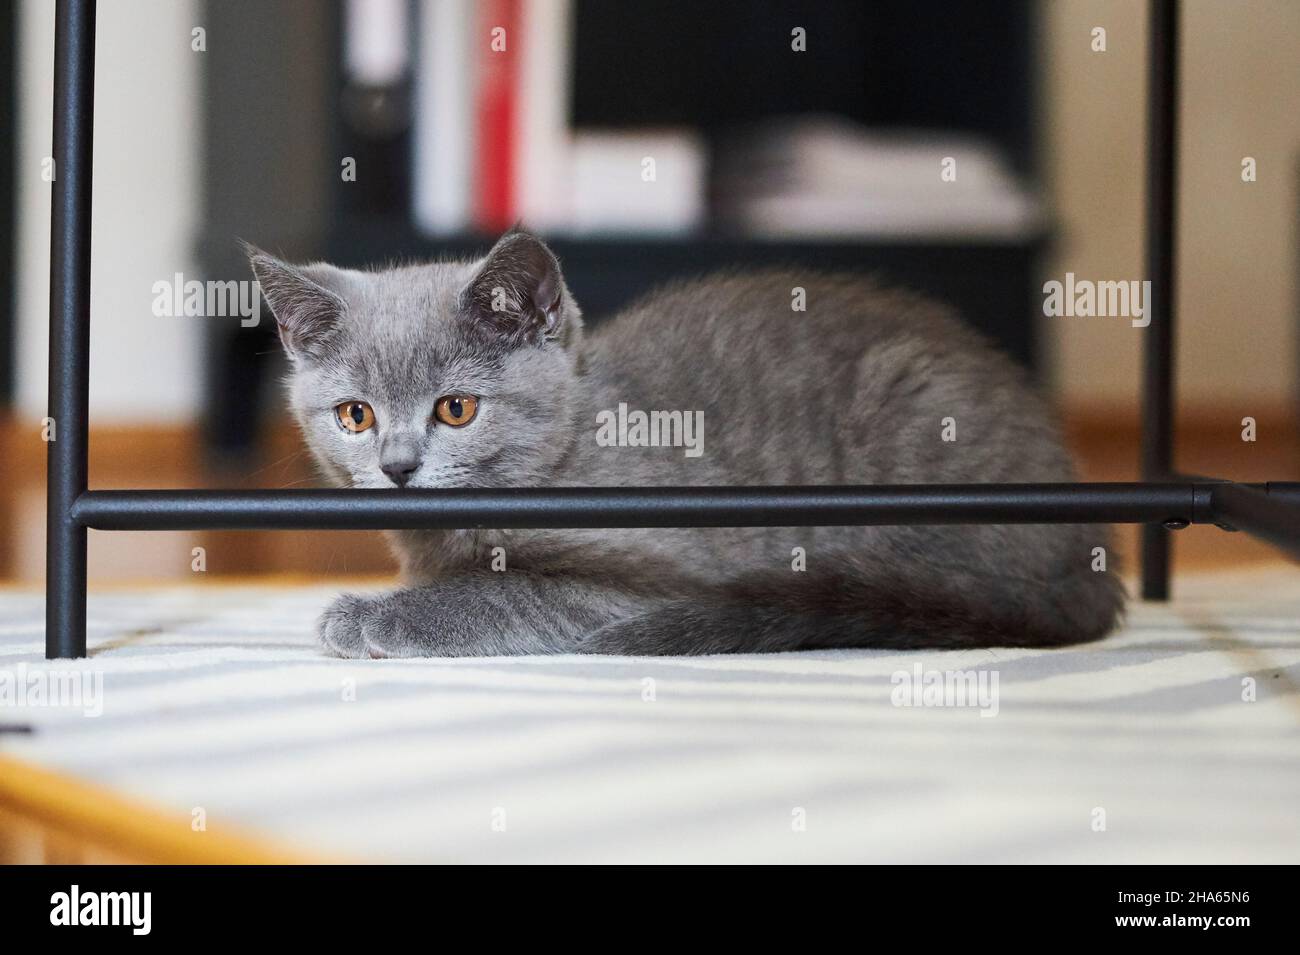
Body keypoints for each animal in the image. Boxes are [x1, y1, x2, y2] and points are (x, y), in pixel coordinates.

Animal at [248, 231, 1123, 657]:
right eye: (355, 415)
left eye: (456, 409)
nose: (397, 467)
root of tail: (1090, 563)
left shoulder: (657, 570)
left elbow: (501, 593)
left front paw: (373, 616)